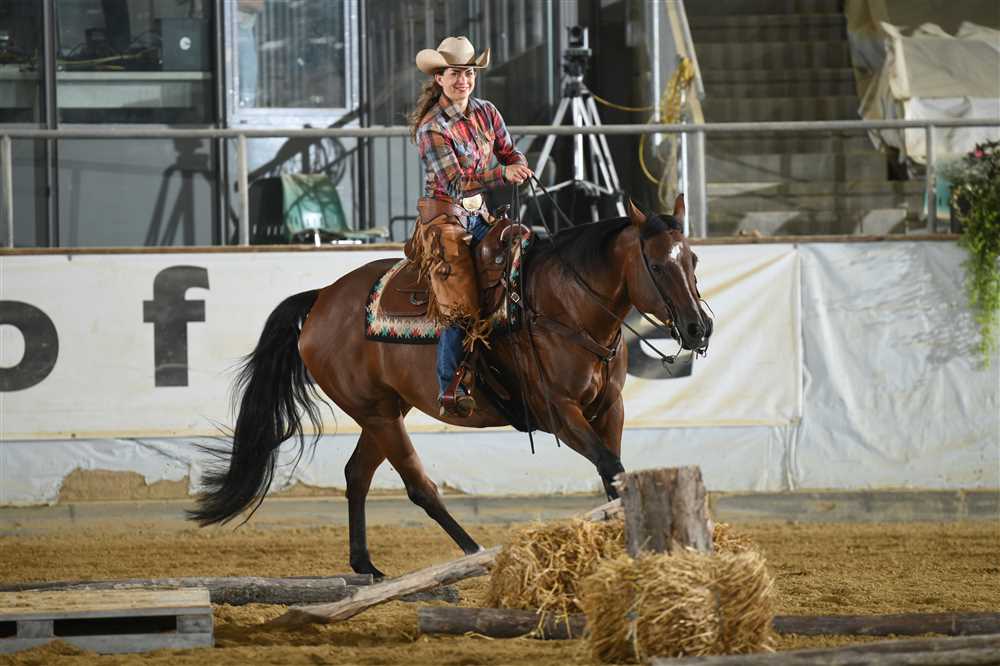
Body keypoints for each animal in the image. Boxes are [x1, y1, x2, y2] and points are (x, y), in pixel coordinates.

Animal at [188, 195, 712, 578]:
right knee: (419, 487)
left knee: (357, 475)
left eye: (693, 258)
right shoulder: (560, 412)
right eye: (657, 266)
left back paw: (366, 565)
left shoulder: (609, 407)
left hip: (385, 410)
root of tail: (321, 299)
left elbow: (614, 477)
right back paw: (474, 553)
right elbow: (611, 467)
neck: (564, 307)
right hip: (377, 413)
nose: (698, 327)